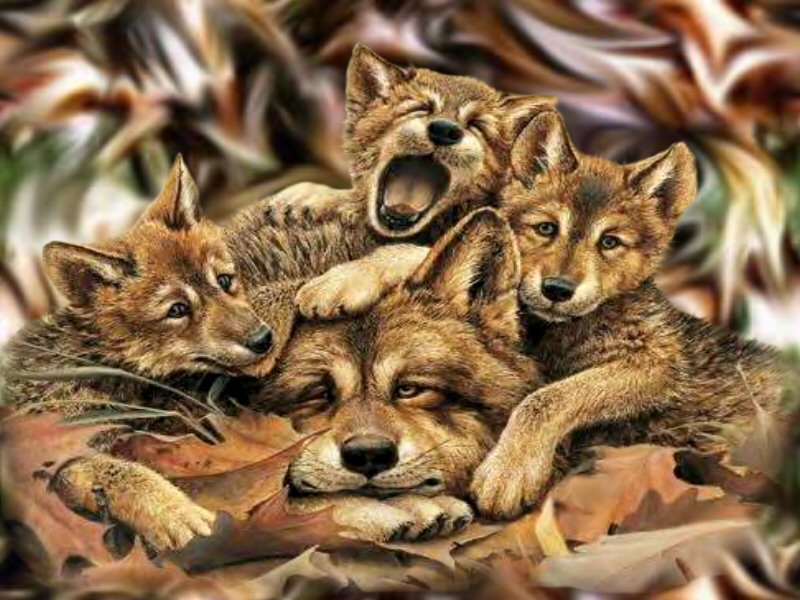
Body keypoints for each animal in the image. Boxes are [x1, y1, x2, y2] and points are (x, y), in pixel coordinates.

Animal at [468, 111, 788, 519]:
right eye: (546, 228)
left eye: (609, 242)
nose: (557, 289)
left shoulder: (655, 364)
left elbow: (547, 399)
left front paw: (508, 472)